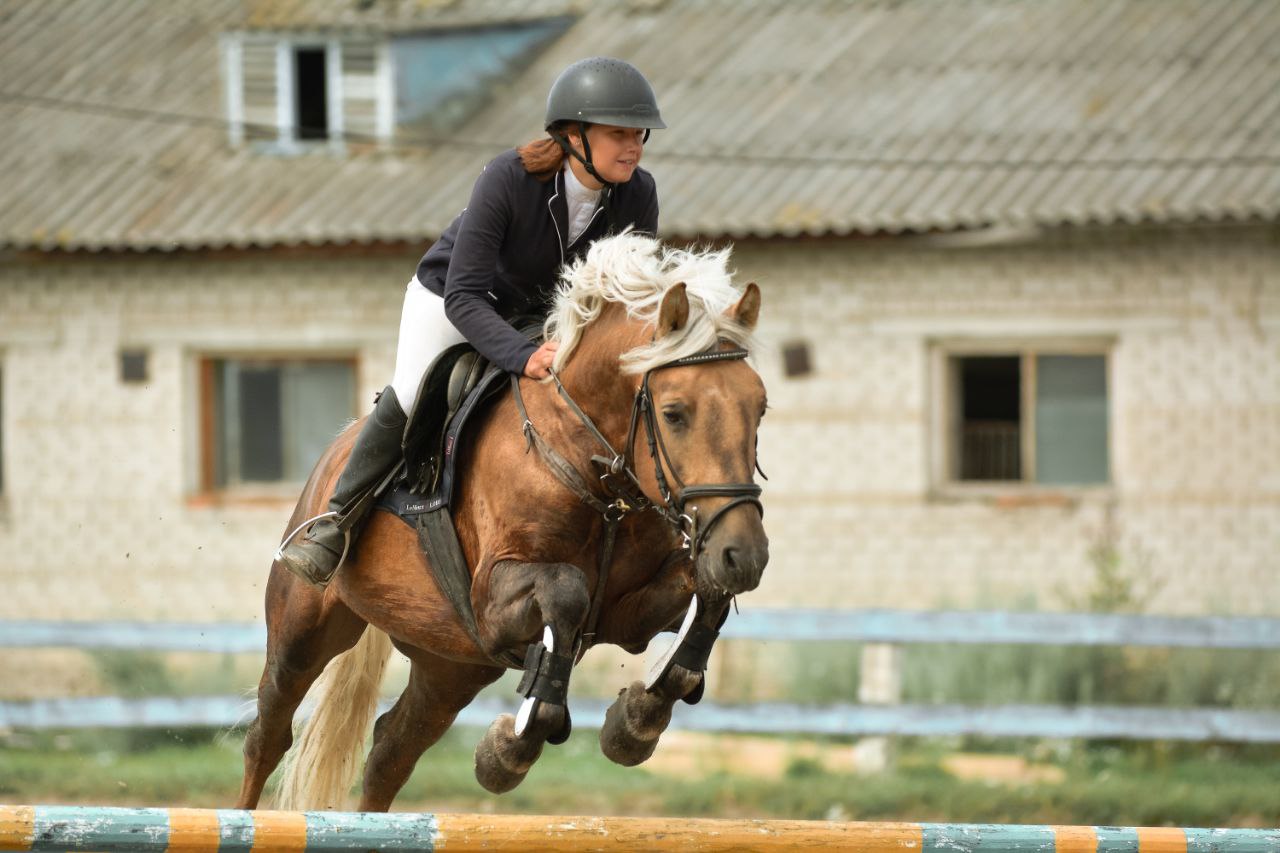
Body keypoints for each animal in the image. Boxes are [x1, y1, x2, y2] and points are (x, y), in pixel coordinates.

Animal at [234, 233, 762, 809]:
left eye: (759, 408)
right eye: (673, 413)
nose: (745, 556)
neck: (589, 466)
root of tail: (335, 449)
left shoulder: (630, 613)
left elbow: (704, 597)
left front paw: (634, 723)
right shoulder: (494, 598)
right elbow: (567, 592)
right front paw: (510, 750)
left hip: (453, 664)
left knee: (390, 753)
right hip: (303, 629)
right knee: (269, 732)